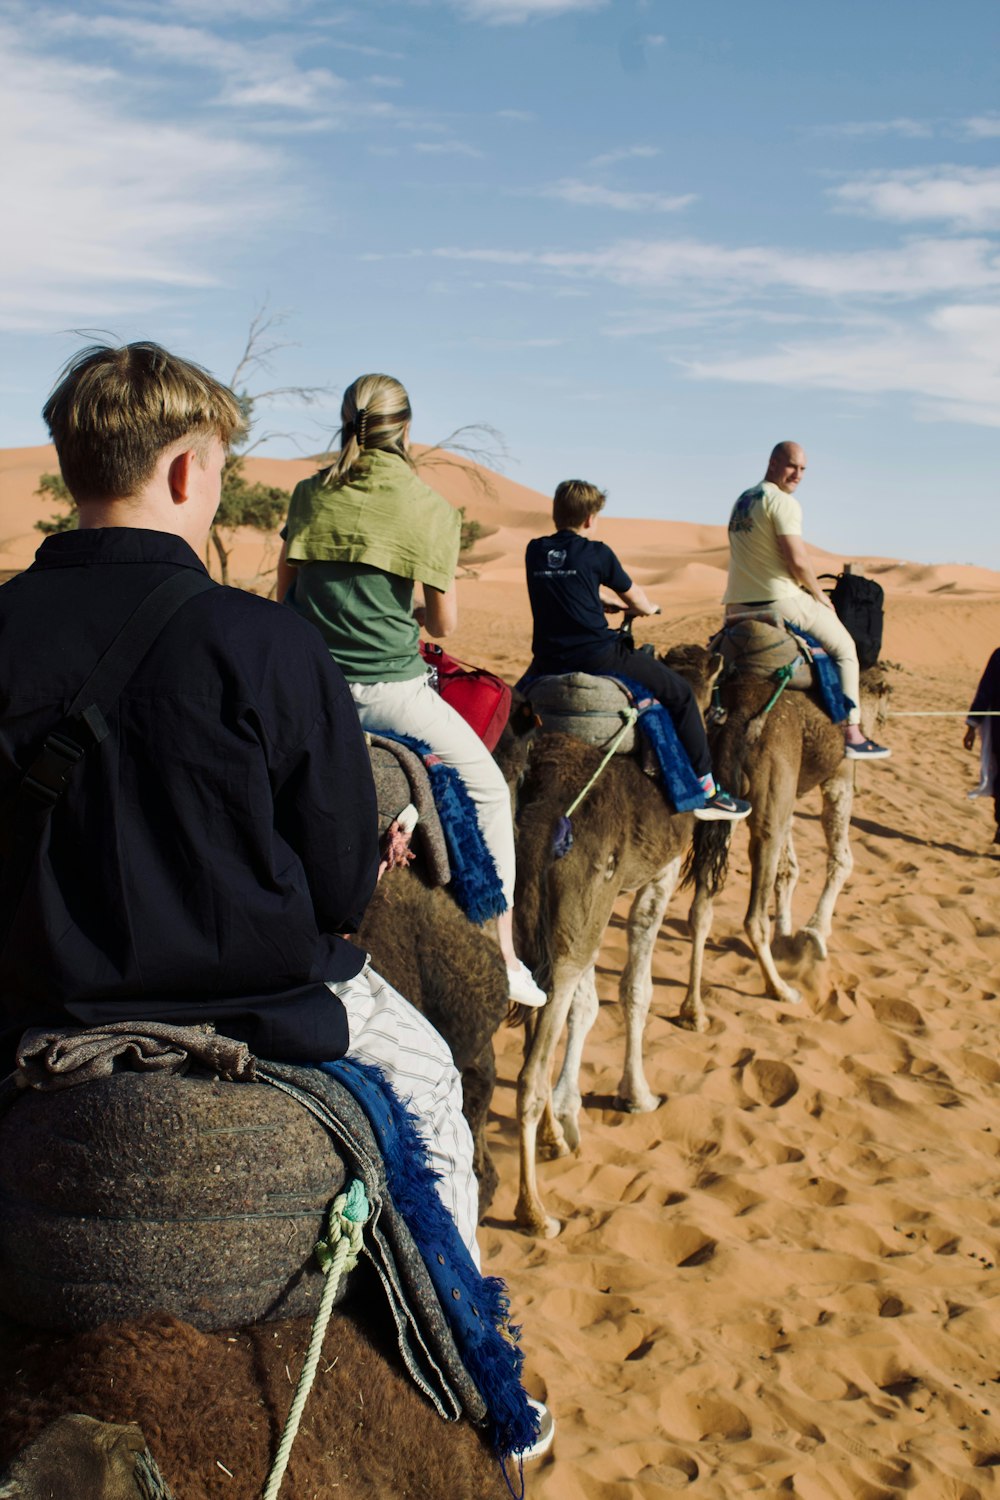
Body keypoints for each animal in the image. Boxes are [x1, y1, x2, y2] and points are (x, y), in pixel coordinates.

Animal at [503, 645, 722, 1242]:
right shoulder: (658, 876)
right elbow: (635, 990)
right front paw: (638, 1094)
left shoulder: (577, 919)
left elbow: (587, 1007)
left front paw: (568, 1124)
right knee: (528, 1075)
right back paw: (535, 1211)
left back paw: (551, 1143)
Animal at [680, 672, 893, 1032]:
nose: (883, 721)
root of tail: (734, 717)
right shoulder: (839, 775)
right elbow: (842, 860)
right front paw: (813, 934)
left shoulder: (785, 797)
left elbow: (787, 869)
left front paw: (787, 931)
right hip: (769, 797)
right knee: (753, 918)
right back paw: (780, 989)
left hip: (726, 802)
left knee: (700, 910)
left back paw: (694, 1012)